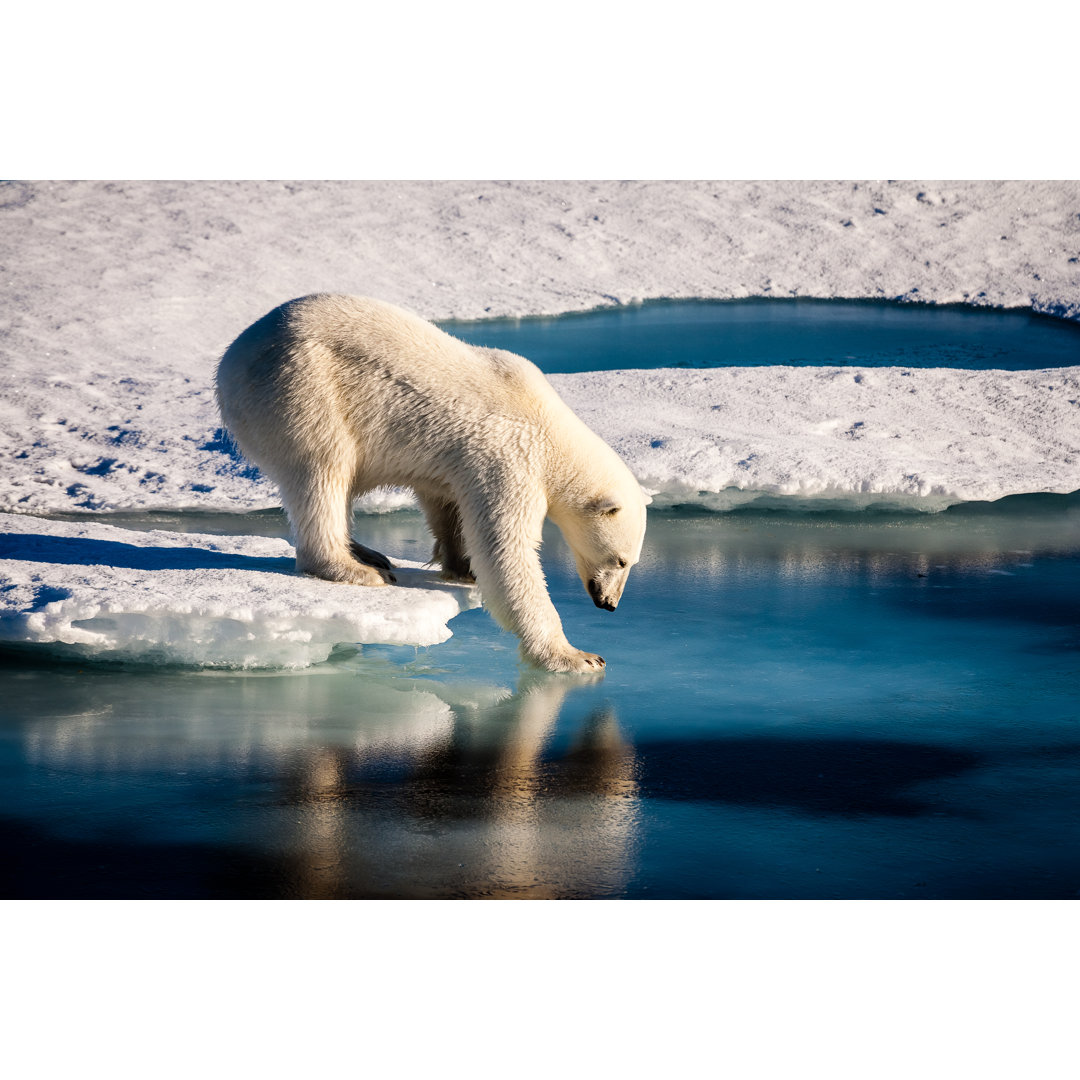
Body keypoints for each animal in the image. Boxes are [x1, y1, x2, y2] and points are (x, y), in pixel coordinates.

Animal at [214, 291, 643, 669]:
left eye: (631, 562)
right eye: (620, 560)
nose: (609, 604)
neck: (549, 428)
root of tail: (230, 359)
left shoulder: (458, 463)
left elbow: (446, 504)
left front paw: (461, 567)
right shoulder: (509, 460)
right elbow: (506, 552)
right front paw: (576, 656)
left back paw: (367, 553)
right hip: (302, 388)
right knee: (323, 470)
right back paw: (356, 569)